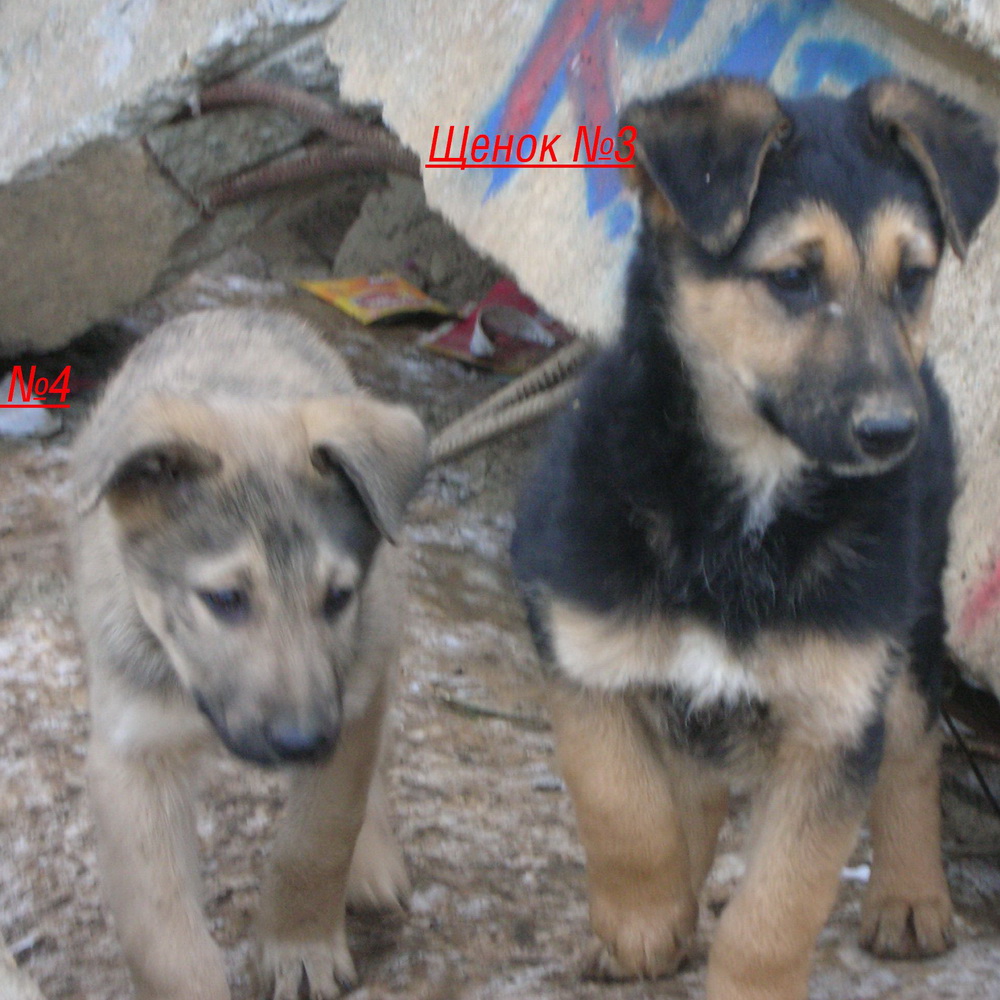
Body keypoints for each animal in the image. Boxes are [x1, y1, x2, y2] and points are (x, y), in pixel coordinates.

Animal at [69, 308, 428, 1000]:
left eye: (337, 596)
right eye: (225, 599)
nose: (301, 742)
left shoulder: (346, 706)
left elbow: (316, 839)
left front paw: (299, 948)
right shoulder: (132, 752)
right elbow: (162, 936)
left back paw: (371, 859)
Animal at [511, 77, 998, 1000]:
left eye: (914, 278)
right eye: (794, 278)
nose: (893, 432)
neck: (747, 513)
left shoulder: (835, 716)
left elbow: (783, 898)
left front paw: (747, 969)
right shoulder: (582, 648)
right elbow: (620, 797)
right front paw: (642, 920)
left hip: (909, 628)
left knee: (915, 748)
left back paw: (910, 894)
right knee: (692, 790)